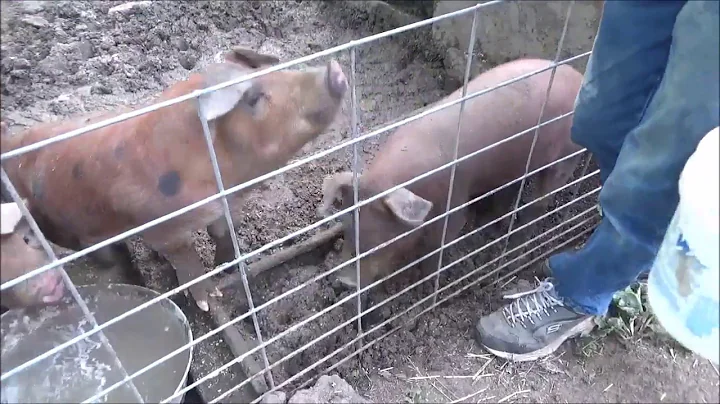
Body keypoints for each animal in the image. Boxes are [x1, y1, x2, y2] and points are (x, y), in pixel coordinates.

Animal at [1, 46, 348, 311]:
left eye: (281, 71)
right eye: (253, 99)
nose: (334, 69)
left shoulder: (225, 205)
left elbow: (223, 233)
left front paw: (229, 266)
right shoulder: (162, 227)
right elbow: (185, 257)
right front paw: (209, 300)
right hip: (53, 223)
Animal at [318, 59, 583, 289]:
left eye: (378, 239)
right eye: (347, 228)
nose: (344, 281)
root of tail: (579, 76)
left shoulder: (453, 202)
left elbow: (439, 245)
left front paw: (426, 281)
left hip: (566, 155)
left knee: (542, 199)